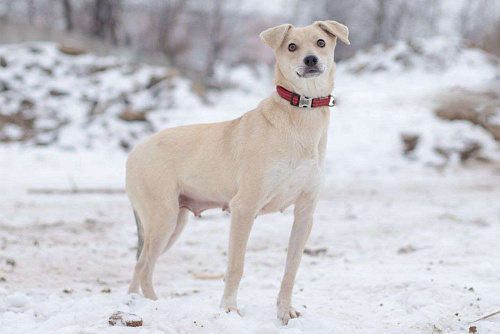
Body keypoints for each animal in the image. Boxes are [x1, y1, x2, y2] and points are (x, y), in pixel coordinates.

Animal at [127, 20, 350, 324]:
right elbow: (236, 266)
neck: (300, 114)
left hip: (173, 222)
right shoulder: (244, 208)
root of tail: (134, 151)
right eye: (292, 46)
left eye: (320, 42)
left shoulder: (305, 213)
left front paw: (285, 312)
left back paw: (132, 303)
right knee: (143, 266)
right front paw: (229, 311)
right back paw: (154, 306)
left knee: (138, 264)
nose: (311, 60)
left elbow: (291, 269)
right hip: (163, 218)